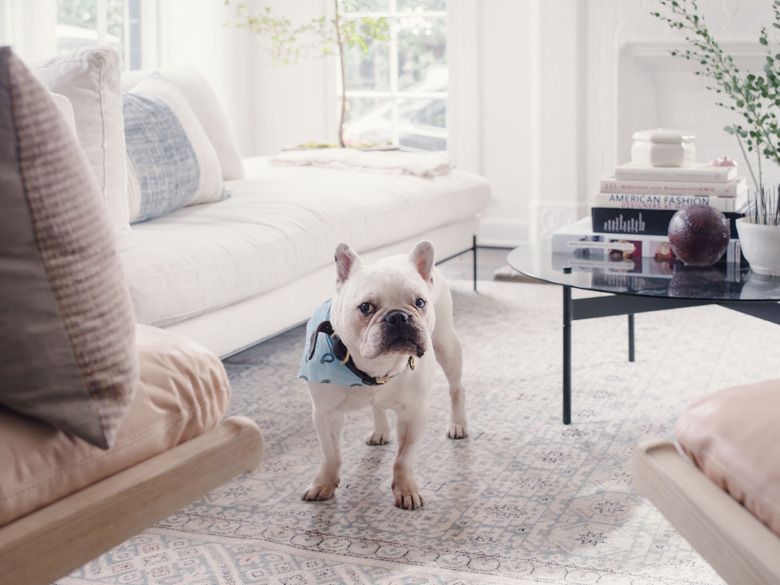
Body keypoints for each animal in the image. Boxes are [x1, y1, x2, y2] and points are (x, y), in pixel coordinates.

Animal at [298, 240, 470, 508]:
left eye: (420, 302)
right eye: (365, 307)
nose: (398, 316)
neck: (376, 368)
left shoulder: (414, 414)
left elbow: (403, 457)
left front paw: (405, 489)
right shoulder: (326, 414)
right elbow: (331, 454)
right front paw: (323, 483)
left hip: (446, 344)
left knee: (456, 387)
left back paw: (458, 424)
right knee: (376, 406)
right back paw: (380, 431)